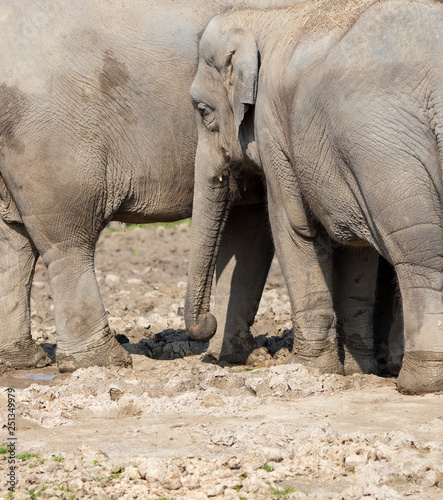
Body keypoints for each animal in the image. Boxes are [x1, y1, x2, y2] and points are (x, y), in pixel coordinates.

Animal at [186, 0, 443, 394]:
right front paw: (358, 369)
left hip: (386, 152)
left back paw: (420, 381)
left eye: (203, 111)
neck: (267, 16)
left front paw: (309, 369)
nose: (209, 322)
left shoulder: (273, 128)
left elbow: (293, 227)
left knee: (419, 250)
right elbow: (358, 249)